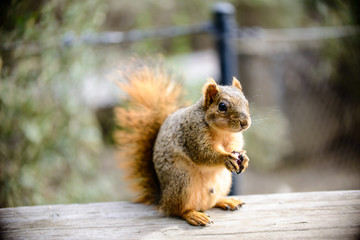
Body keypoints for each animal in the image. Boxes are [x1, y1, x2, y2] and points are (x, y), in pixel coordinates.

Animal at [115, 64, 250, 226]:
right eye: (222, 106)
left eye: (247, 102)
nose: (245, 123)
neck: (222, 132)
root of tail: (163, 199)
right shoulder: (192, 135)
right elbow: (203, 154)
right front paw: (225, 158)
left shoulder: (234, 138)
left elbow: (235, 147)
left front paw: (244, 158)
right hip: (182, 182)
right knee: (178, 210)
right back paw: (194, 215)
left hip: (222, 182)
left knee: (211, 202)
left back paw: (226, 201)